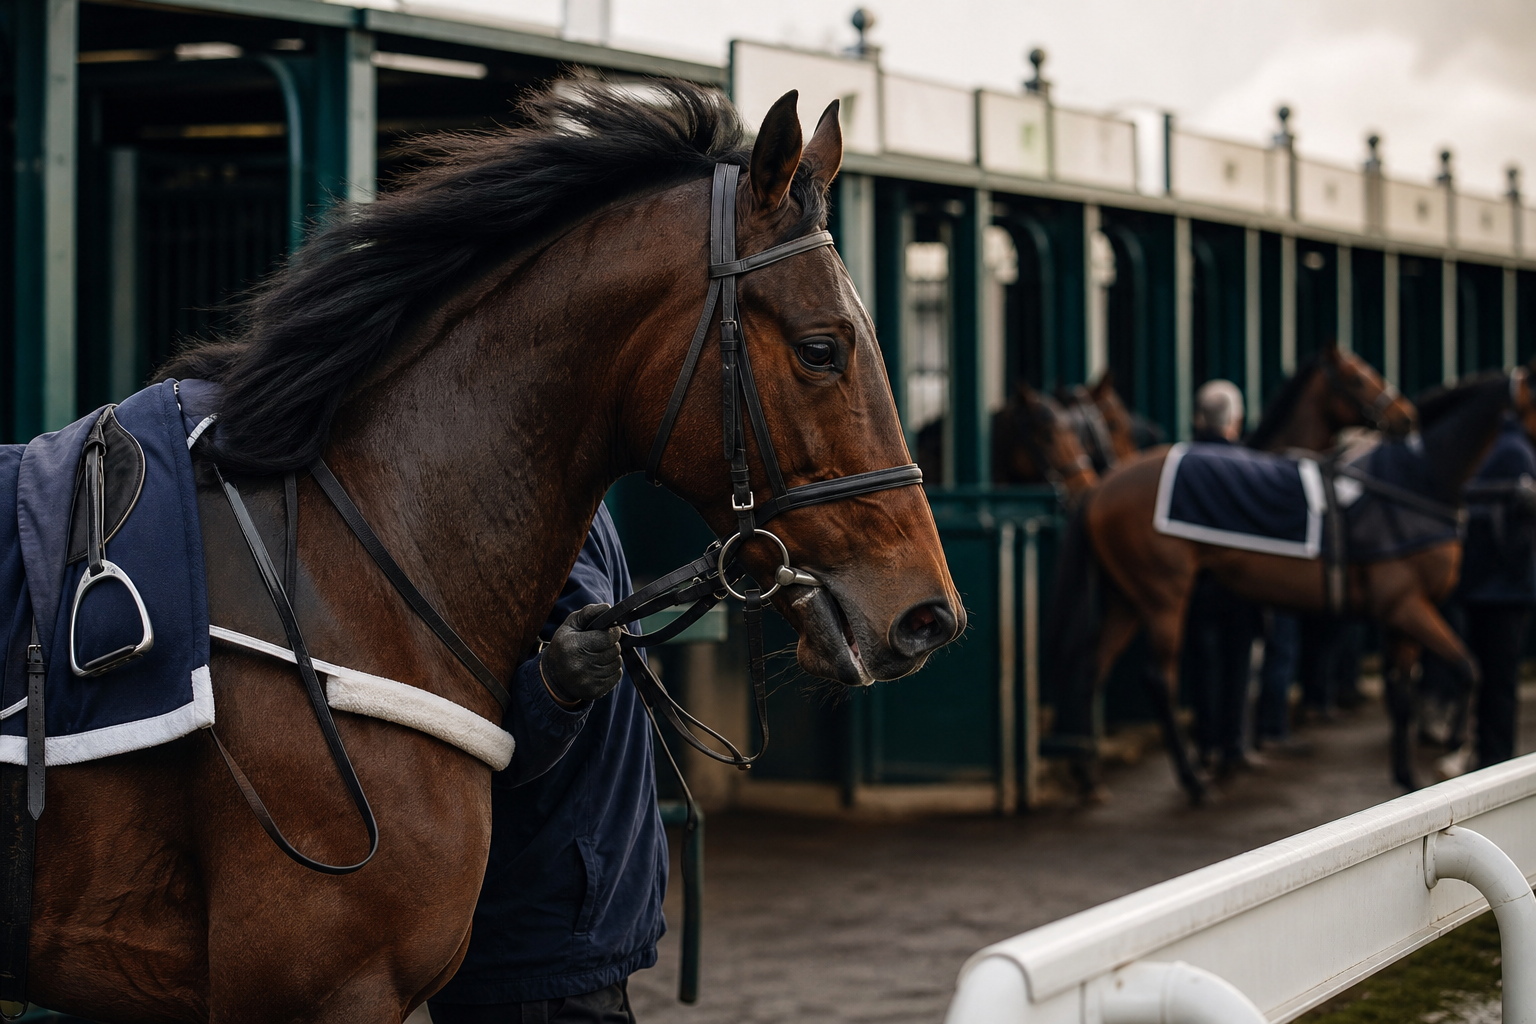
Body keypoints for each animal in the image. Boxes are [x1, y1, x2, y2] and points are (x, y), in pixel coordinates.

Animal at [1047, 367, 1522, 804]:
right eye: (1356, 376)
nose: (1403, 415)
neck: (1413, 482)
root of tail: (1100, 487)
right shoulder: (1406, 605)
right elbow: (1467, 668)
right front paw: (1454, 748)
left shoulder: (1397, 614)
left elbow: (1402, 693)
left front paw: (1407, 775)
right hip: (1163, 597)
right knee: (1159, 679)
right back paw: (1195, 781)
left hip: (1126, 599)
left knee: (1091, 668)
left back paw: (1089, 776)